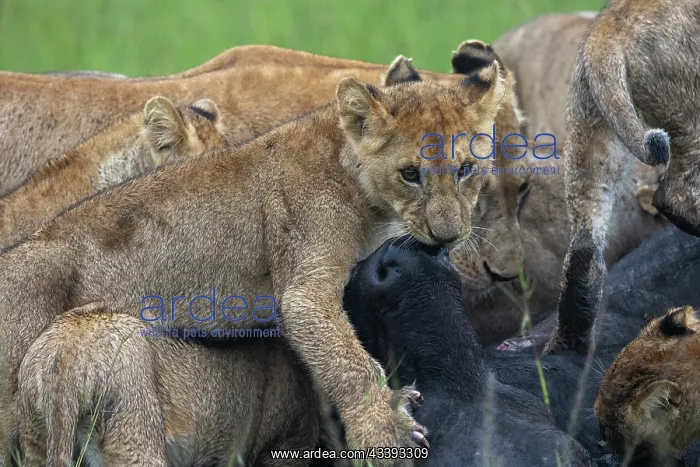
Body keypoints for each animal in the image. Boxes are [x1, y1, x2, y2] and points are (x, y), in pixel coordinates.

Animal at [543, 0, 700, 354]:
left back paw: (569, 344)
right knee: (673, 195)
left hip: (592, 133)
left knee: (584, 247)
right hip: (690, 109)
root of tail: (604, 32)